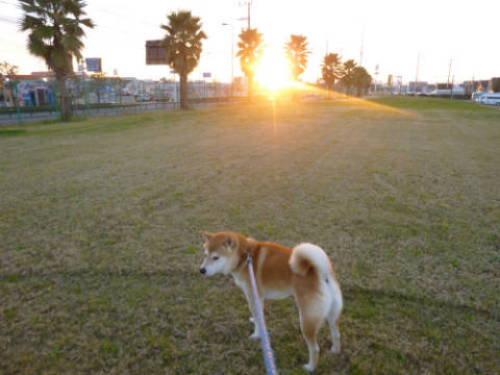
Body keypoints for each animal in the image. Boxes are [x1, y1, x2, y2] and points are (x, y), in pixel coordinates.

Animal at [199, 232, 344, 374]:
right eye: (205, 254)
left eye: (216, 257)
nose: (202, 270)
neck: (245, 256)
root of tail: (321, 272)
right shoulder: (257, 297)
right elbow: (258, 315)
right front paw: (255, 321)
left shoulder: (253, 295)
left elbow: (257, 317)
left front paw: (256, 335)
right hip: (332, 314)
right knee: (336, 334)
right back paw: (335, 351)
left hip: (306, 320)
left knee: (315, 348)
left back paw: (310, 367)